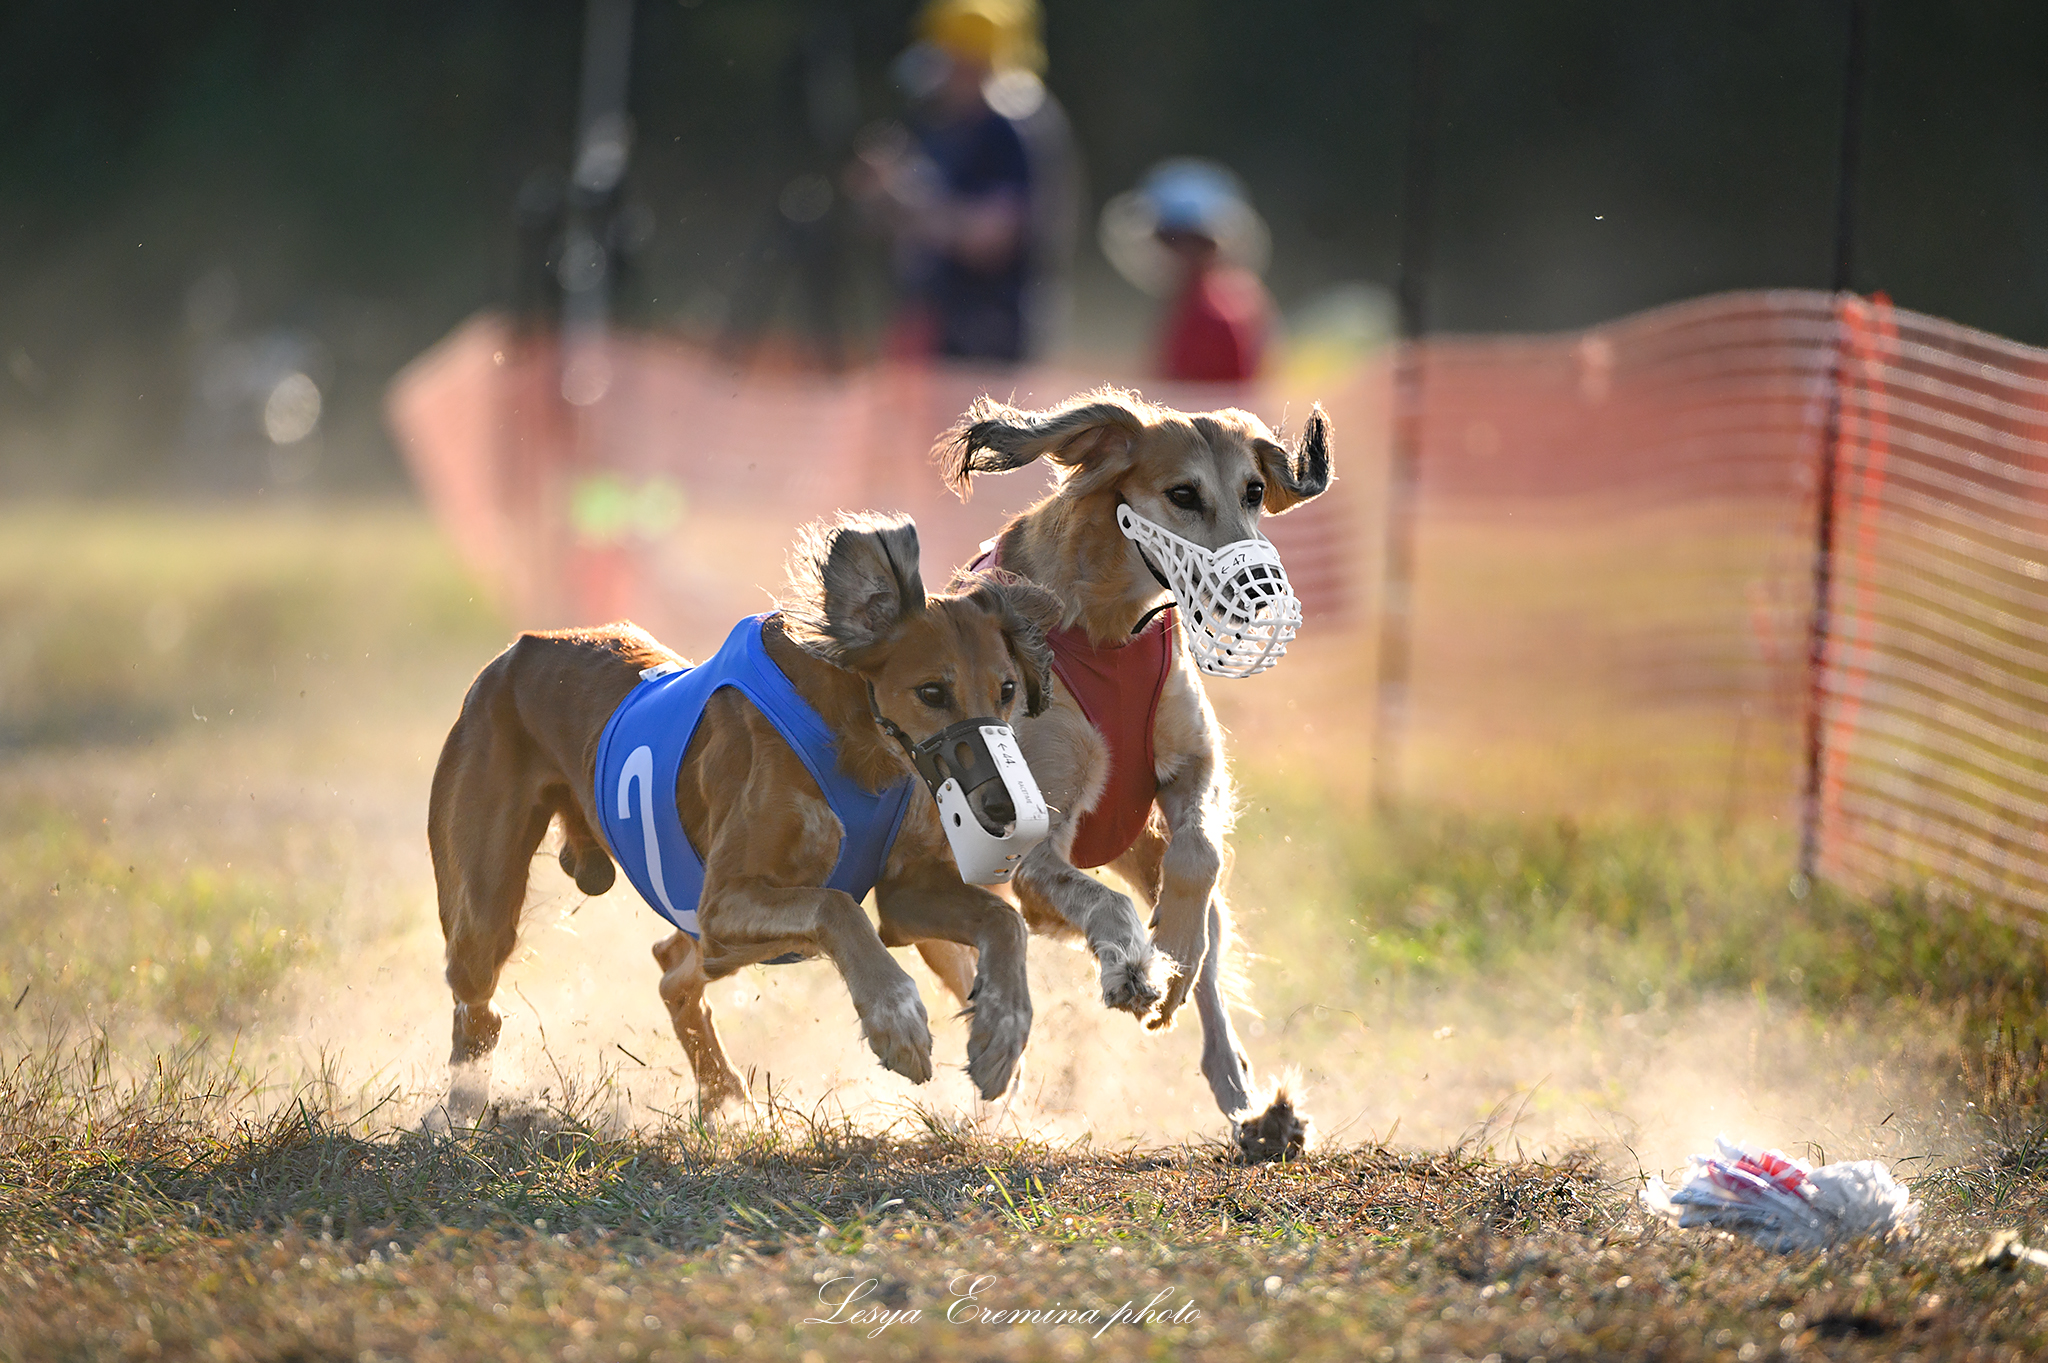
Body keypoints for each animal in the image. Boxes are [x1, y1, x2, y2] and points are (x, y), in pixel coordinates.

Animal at [419, 509, 1056, 1113]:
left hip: (711, 944)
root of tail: (515, 652)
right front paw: (895, 1020)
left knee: (671, 971)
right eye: (931, 692)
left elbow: (1004, 920)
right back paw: (463, 1110)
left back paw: (724, 1095)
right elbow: (836, 905)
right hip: (486, 911)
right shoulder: (724, 901)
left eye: (1005, 690)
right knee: (478, 1004)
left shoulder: (903, 896)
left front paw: (1001, 1035)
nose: (1001, 808)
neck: (851, 741)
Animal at [937, 384, 1335, 1154]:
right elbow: (1097, 903)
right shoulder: (1035, 849)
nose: (1259, 591)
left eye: (1252, 491)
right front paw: (1132, 968)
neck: (1106, 629)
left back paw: (1253, 1110)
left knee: (1209, 948)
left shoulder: (1192, 768)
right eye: (1182, 493)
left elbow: (1199, 861)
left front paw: (1171, 950)